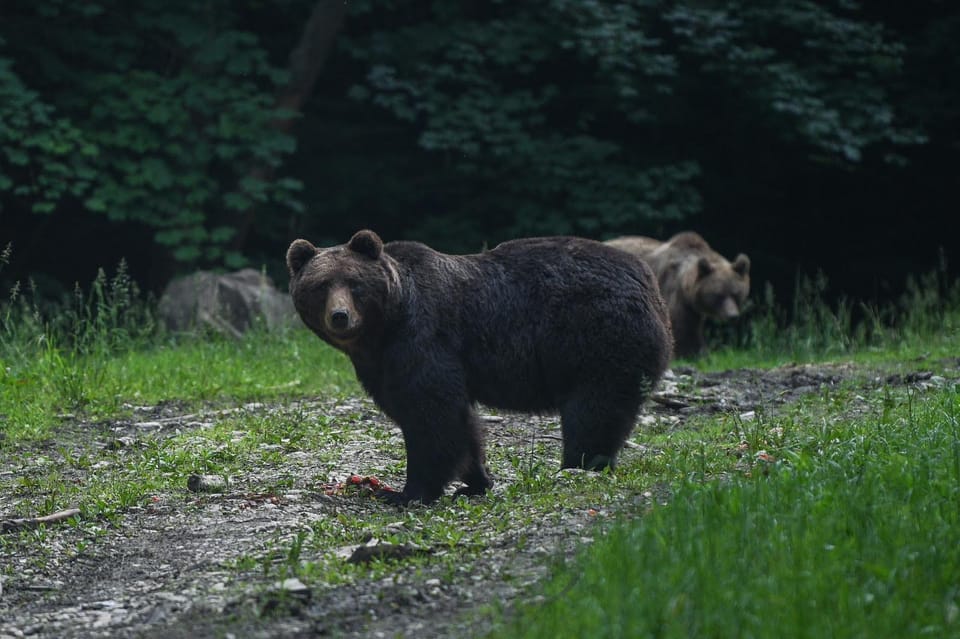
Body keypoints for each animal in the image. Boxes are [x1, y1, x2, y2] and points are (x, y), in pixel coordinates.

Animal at [288, 230, 672, 504]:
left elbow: (432, 415)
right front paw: (475, 481)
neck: (384, 327)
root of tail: (648, 279)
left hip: (597, 336)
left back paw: (579, 464)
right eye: (321, 285)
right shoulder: (382, 364)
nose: (340, 316)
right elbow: (453, 421)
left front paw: (407, 492)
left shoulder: (425, 338)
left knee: (593, 410)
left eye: (355, 284)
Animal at [608, 231, 752, 360]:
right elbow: (682, 327)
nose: (732, 316)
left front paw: (702, 354)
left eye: (736, 294)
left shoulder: (692, 308)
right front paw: (687, 354)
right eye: (718, 294)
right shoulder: (673, 293)